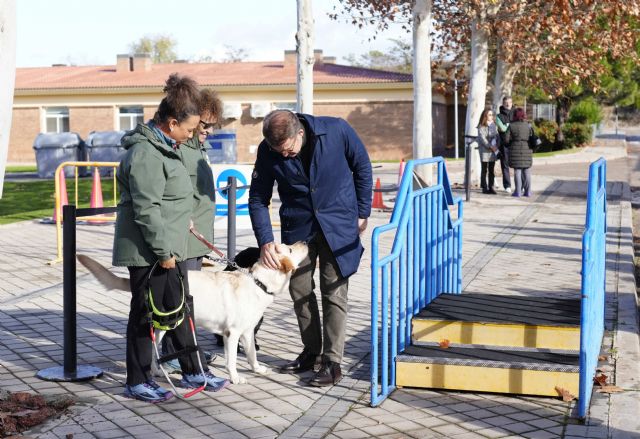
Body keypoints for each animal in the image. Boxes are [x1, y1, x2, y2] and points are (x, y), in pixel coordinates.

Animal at [77, 241, 308, 384]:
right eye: (289, 249)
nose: (305, 241)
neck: (259, 283)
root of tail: (147, 284)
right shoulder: (232, 334)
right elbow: (232, 360)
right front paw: (235, 378)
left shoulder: (248, 332)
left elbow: (251, 353)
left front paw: (257, 369)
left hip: (167, 323)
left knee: (154, 349)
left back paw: (158, 371)